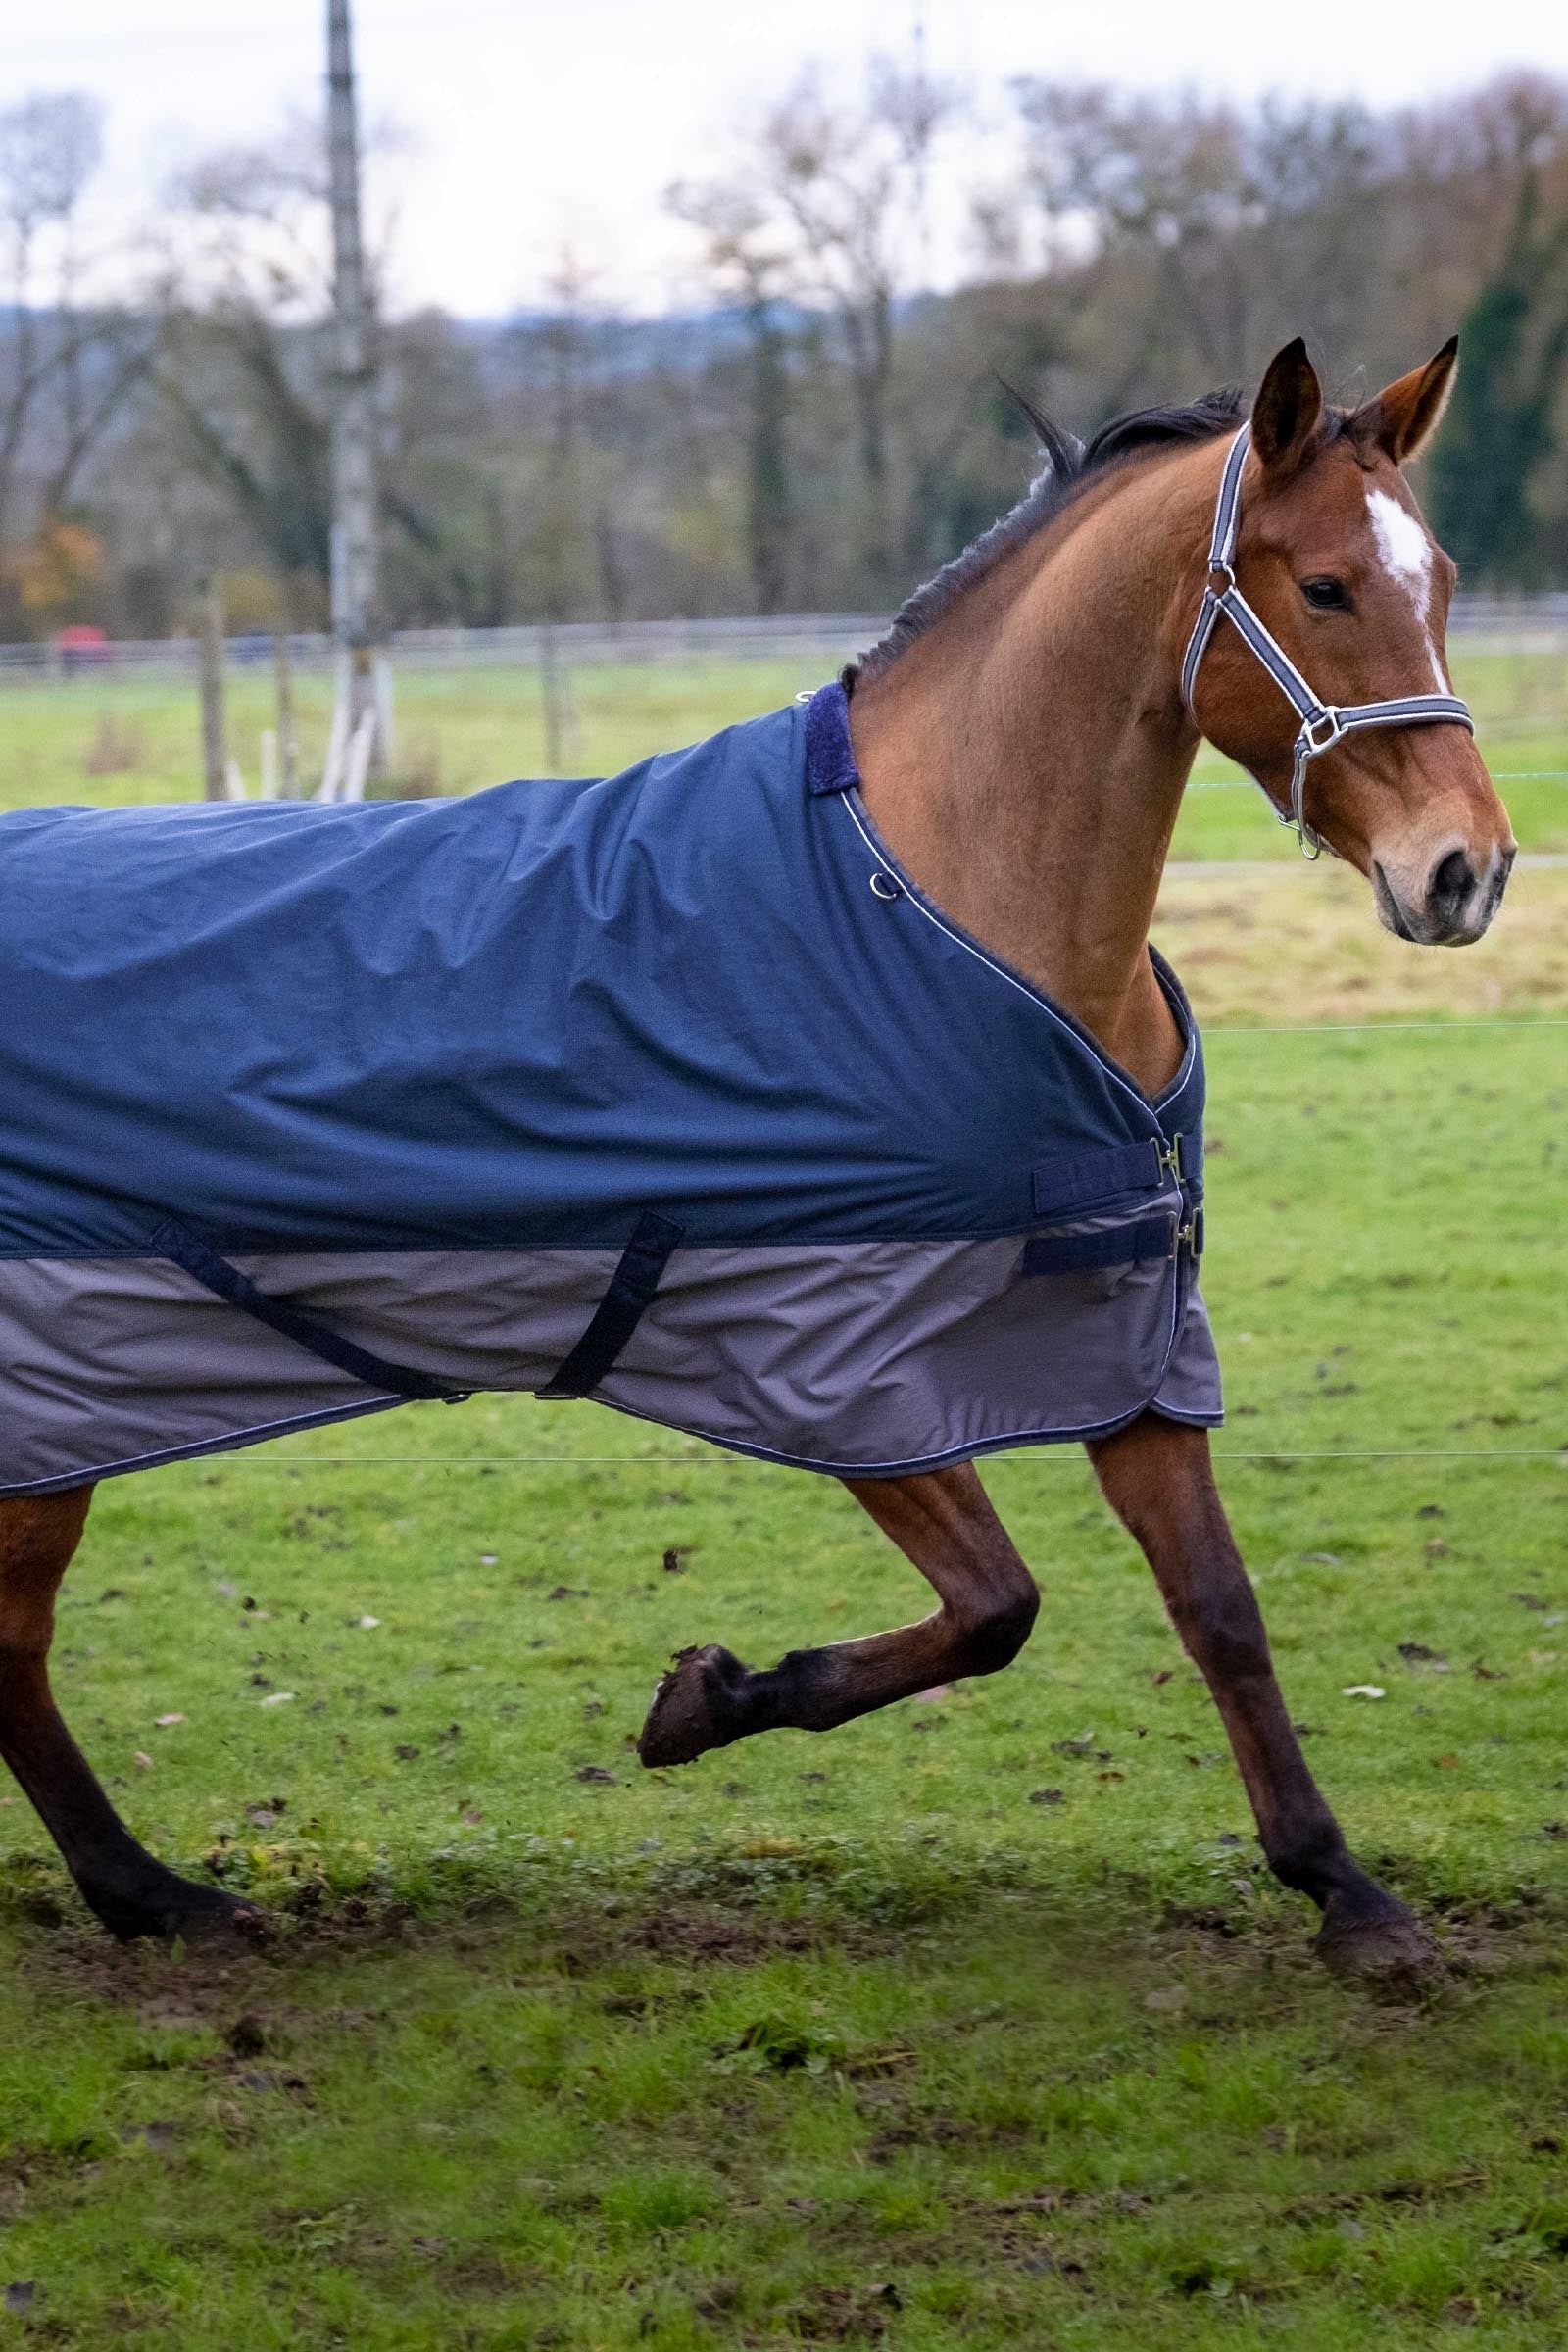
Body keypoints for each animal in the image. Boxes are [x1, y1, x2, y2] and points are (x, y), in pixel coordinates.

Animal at [0, 337, 1515, 1976]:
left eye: (1439, 580)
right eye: (1324, 587)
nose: (1467, 871)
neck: (941, 899)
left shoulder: (1124, 1333)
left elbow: (1220, 1606)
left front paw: (1345, 1890)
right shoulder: (825, 1358)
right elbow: (998, 1605)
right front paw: (703, 1702)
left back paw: (144, 1893)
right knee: (11, 1647)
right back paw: (153, 1891)